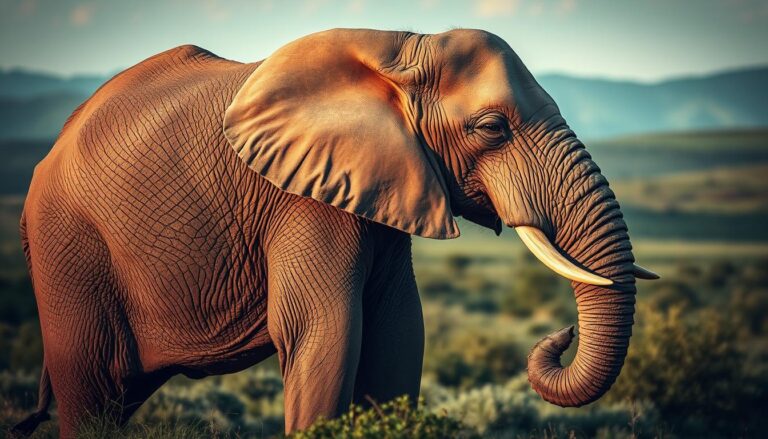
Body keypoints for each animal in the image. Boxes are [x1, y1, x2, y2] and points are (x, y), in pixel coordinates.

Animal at [12, 28, 658, 437]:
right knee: (92, 387)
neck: (401, 48)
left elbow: (400, 331)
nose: (559, 335)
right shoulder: (304, 201)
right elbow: (324, 330)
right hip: (69, 244)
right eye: (493, 127)